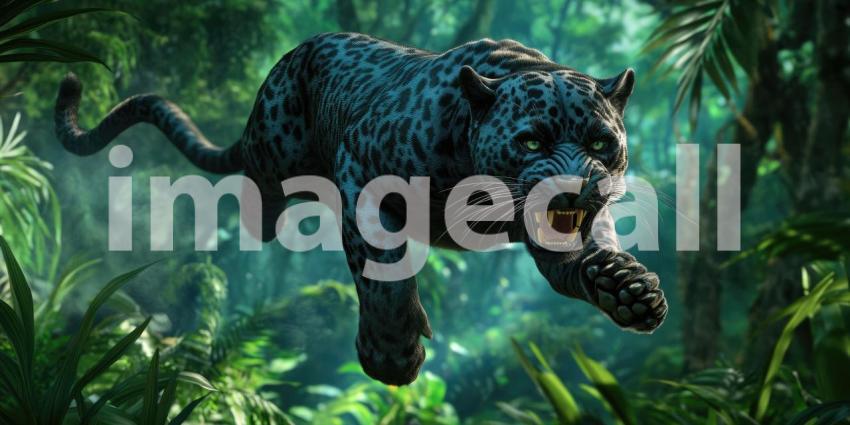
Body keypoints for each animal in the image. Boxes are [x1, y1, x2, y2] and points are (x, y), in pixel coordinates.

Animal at [55, 32, 668, 386]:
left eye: (599, 144)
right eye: (533, 141)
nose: (576, 187)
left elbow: (582, 259)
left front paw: (629, 291)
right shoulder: (363, 172)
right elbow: (383, 274)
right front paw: (391, 357)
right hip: (275, 155)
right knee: (257, 191)